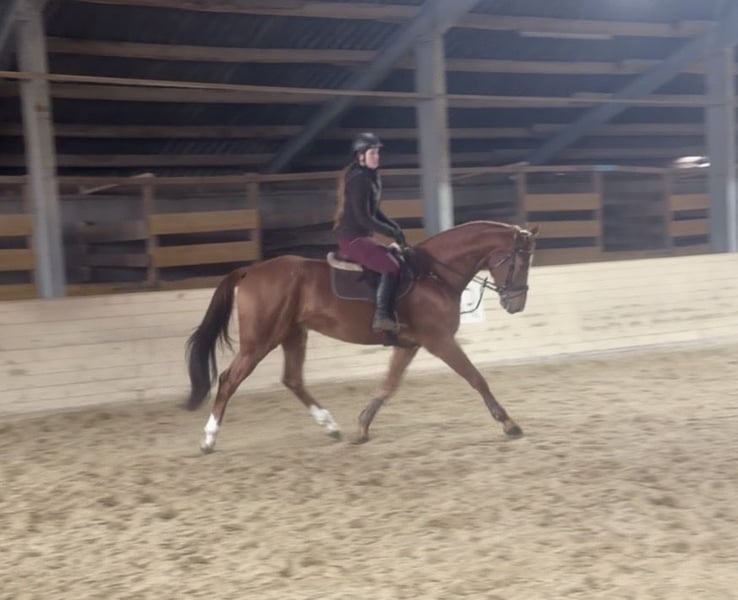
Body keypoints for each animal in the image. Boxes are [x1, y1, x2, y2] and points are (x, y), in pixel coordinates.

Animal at [185, 220, 539, 453]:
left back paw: (331, 426)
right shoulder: (439, 341)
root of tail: (251, 270)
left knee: (293, 380)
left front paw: (362, 426)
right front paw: (509, 424)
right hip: (260, 340)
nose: (517, 304)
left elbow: (388, 385)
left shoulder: (410, 344)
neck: (432, 274)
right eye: (521, 259)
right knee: (230, 379)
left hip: (293, 334)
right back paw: (208, 437)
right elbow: (476, 378)